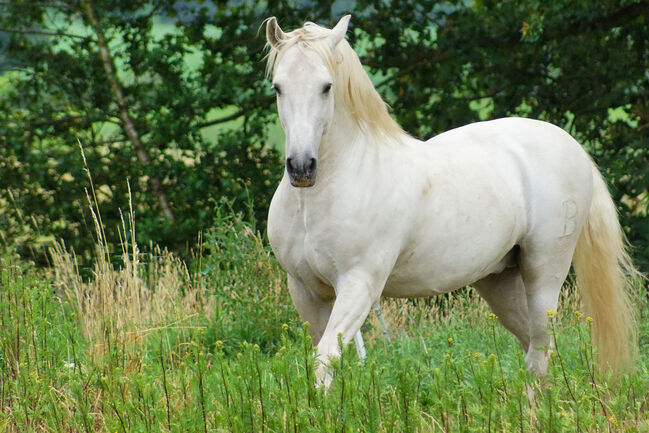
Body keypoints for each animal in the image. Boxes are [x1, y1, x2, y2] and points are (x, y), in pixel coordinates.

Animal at [264, 15, 636, 384]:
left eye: (326, 86)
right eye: (278, 87)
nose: (301, 167)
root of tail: (571, 145)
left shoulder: (358, 285)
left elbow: (325, 359)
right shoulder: (306, 291)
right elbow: (320, 357)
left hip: (545, 273)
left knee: (539, 354)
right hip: (499, 279)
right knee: (532, 349)